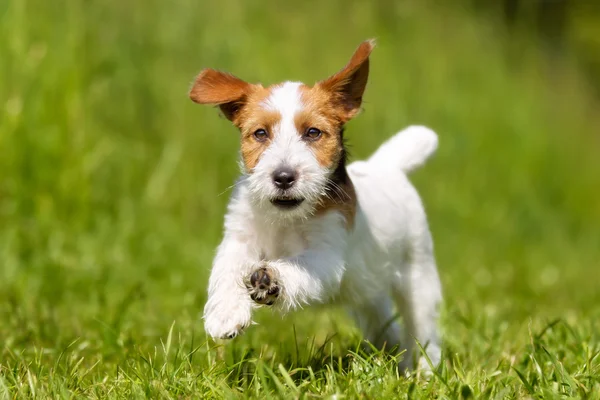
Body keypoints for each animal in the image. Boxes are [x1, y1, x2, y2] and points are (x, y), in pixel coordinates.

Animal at [190, 39, 442, 370]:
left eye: (313, 132)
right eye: (260, 133)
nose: (283, 177)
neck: (285, 219)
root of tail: (388, 166)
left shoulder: (326, 255)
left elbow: (298, 265)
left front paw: (271, 279)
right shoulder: (238, 239)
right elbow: (227, 270)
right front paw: (226, 313)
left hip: (418, 277)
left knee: (423, 331)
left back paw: (424, 371)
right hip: (369, 294)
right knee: (385, 324)